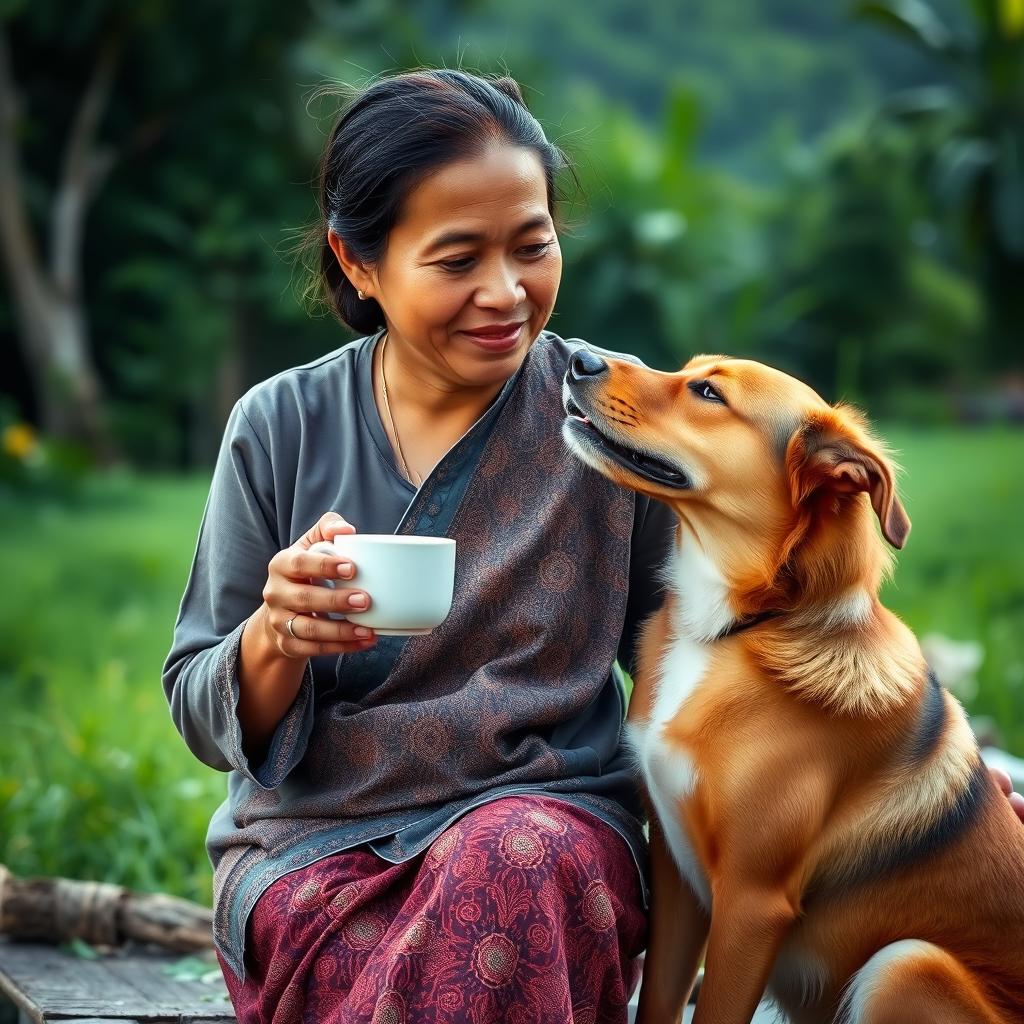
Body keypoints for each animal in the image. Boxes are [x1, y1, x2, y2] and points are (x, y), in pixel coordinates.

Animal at [565, 352, 1019, 1024]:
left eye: (707, 393)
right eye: (690, 368)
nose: (577, 355)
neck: (728, 627)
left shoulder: (752, 904)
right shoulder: (676, 875)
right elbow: (660, 999)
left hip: (902, 964)